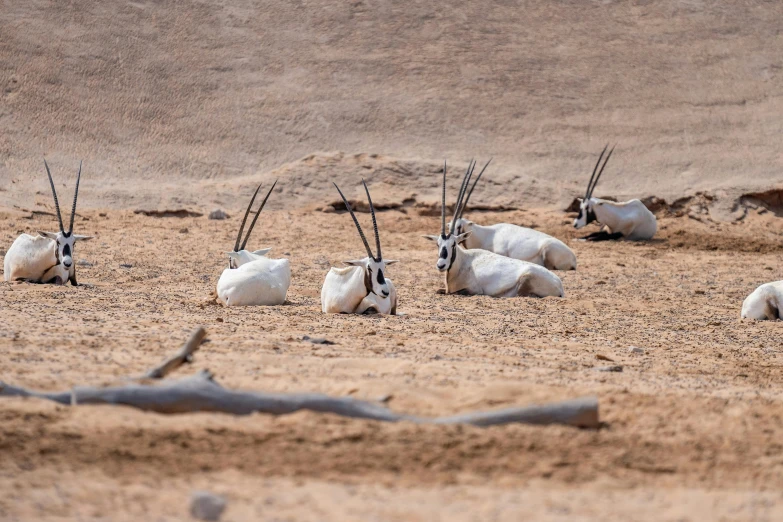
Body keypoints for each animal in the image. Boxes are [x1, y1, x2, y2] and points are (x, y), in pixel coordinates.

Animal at [428, 158, 564, 296]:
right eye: (438, 244)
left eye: (453, 244)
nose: (441, 265)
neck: (464, 261)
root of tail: (559, 286)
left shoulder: (475, 290)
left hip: (526, 277)